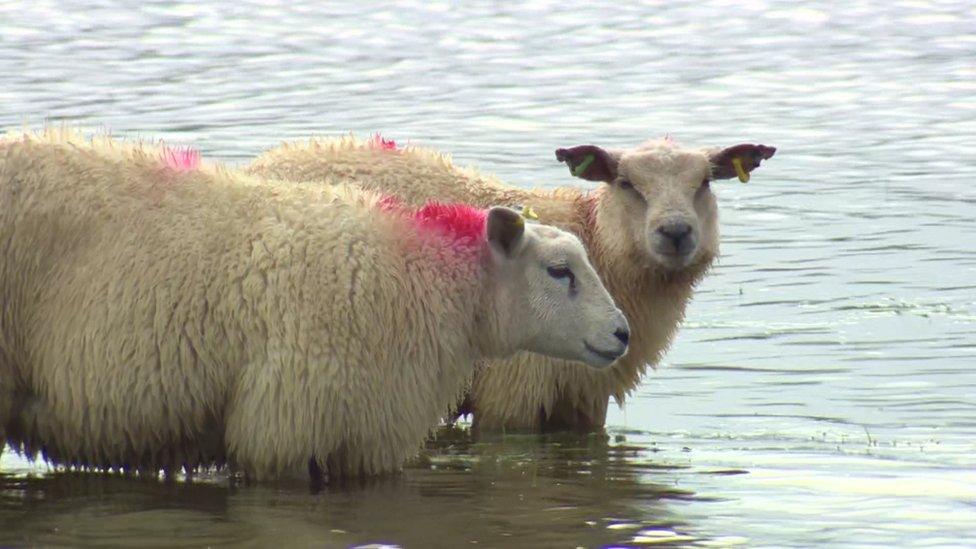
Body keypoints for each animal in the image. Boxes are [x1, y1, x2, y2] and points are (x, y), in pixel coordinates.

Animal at [246, 134, 776, 432]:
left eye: (705, 182)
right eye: (626, 183)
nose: (676, 232)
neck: (596, 239)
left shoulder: (584, 400)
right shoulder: (511, 395)